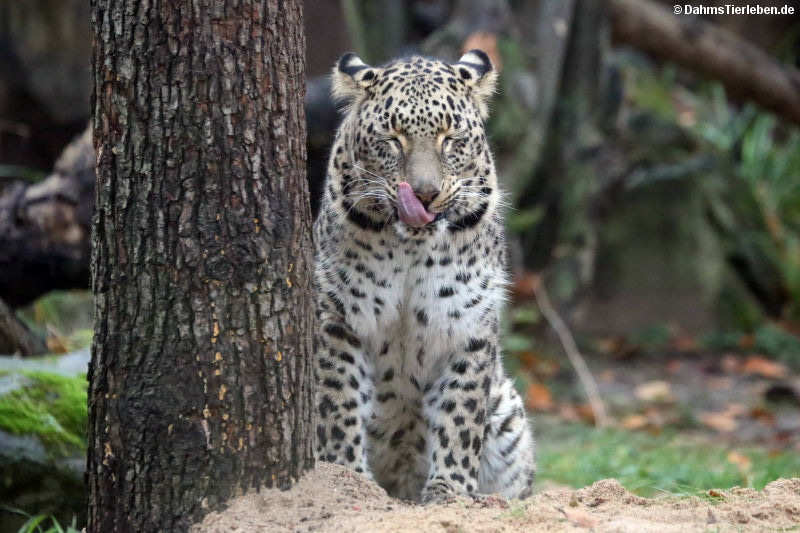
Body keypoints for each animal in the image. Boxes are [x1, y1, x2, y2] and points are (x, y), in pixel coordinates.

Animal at [310, 50, 532, 502]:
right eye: (393, 139)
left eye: (451, 138)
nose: (425, 195)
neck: (411, 249)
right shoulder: (337, 317)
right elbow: (339, 401)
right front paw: (345, 477)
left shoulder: (468, 324)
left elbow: (460, 415)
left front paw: (451, 489)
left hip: (508, 416)